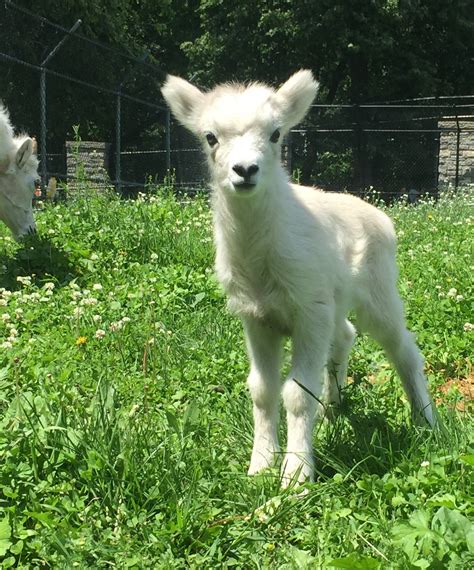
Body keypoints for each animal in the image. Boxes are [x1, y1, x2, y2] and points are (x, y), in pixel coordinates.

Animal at [161, 70, 436, 484]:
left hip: (378, 289)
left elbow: (295, 392)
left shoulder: (308, 310)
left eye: (276, 134)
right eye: (210, 137)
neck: (261, 257)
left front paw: (296, 474)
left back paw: (426, 422)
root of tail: (381, 215)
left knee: (403, 348)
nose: (245, 170)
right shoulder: (256, 315)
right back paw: (331, 409)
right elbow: (262, 389)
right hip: (332, 299)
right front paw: (260, 464)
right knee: (345, 335)